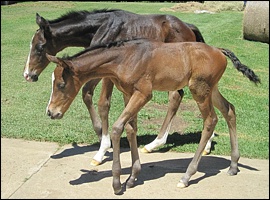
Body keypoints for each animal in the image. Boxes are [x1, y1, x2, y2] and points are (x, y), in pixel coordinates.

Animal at [23, 8, 211, 166]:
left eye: (39, 47)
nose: (28, 75)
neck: (101, 28)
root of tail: (188, 26)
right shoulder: (99, 71)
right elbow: (87, 93)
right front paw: (101, 134)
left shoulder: (108, 73)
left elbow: (103, 104)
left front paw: (102, 150)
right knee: (177, 96)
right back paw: (156, 144)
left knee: (183, 95)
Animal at [45, 38, 260, 194]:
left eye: (61, 85)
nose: (51, 112)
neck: (124, 59)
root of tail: (219, 50)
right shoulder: (128, 93)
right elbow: (131, 129)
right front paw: (132, 177)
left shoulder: (143, 94)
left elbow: (117, 128)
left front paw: (117, 182)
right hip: (211, 89)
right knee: (229, 110)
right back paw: (233, 164)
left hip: (199, 89)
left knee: (210, 121)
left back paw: (187, 176)